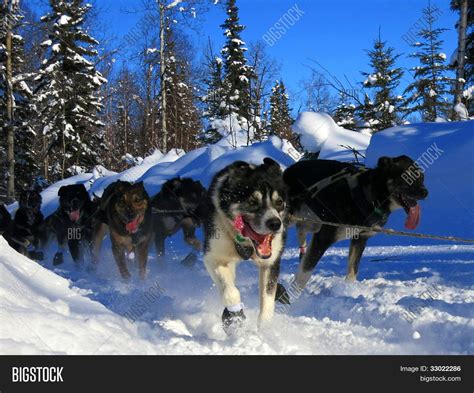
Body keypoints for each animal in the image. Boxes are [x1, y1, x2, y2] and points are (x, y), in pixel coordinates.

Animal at [204, 157, 288, 334]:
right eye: (252, 202)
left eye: (279, 202)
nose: (275, 224)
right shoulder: (213, 257)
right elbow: (230, 292)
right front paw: (234, 316)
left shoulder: (271, 262)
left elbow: (268, 299)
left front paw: (265, 329)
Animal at [278, 155, 430, 302]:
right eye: (408, 175)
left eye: (422, 178)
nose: (425, 192)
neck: (369, 196)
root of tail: (288, 171)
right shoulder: (323, 238)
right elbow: (304, 274)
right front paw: (292, 299)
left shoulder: (360, 238)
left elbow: (352, 272)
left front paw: (348, 291)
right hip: (289, 219)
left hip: (309, 224)